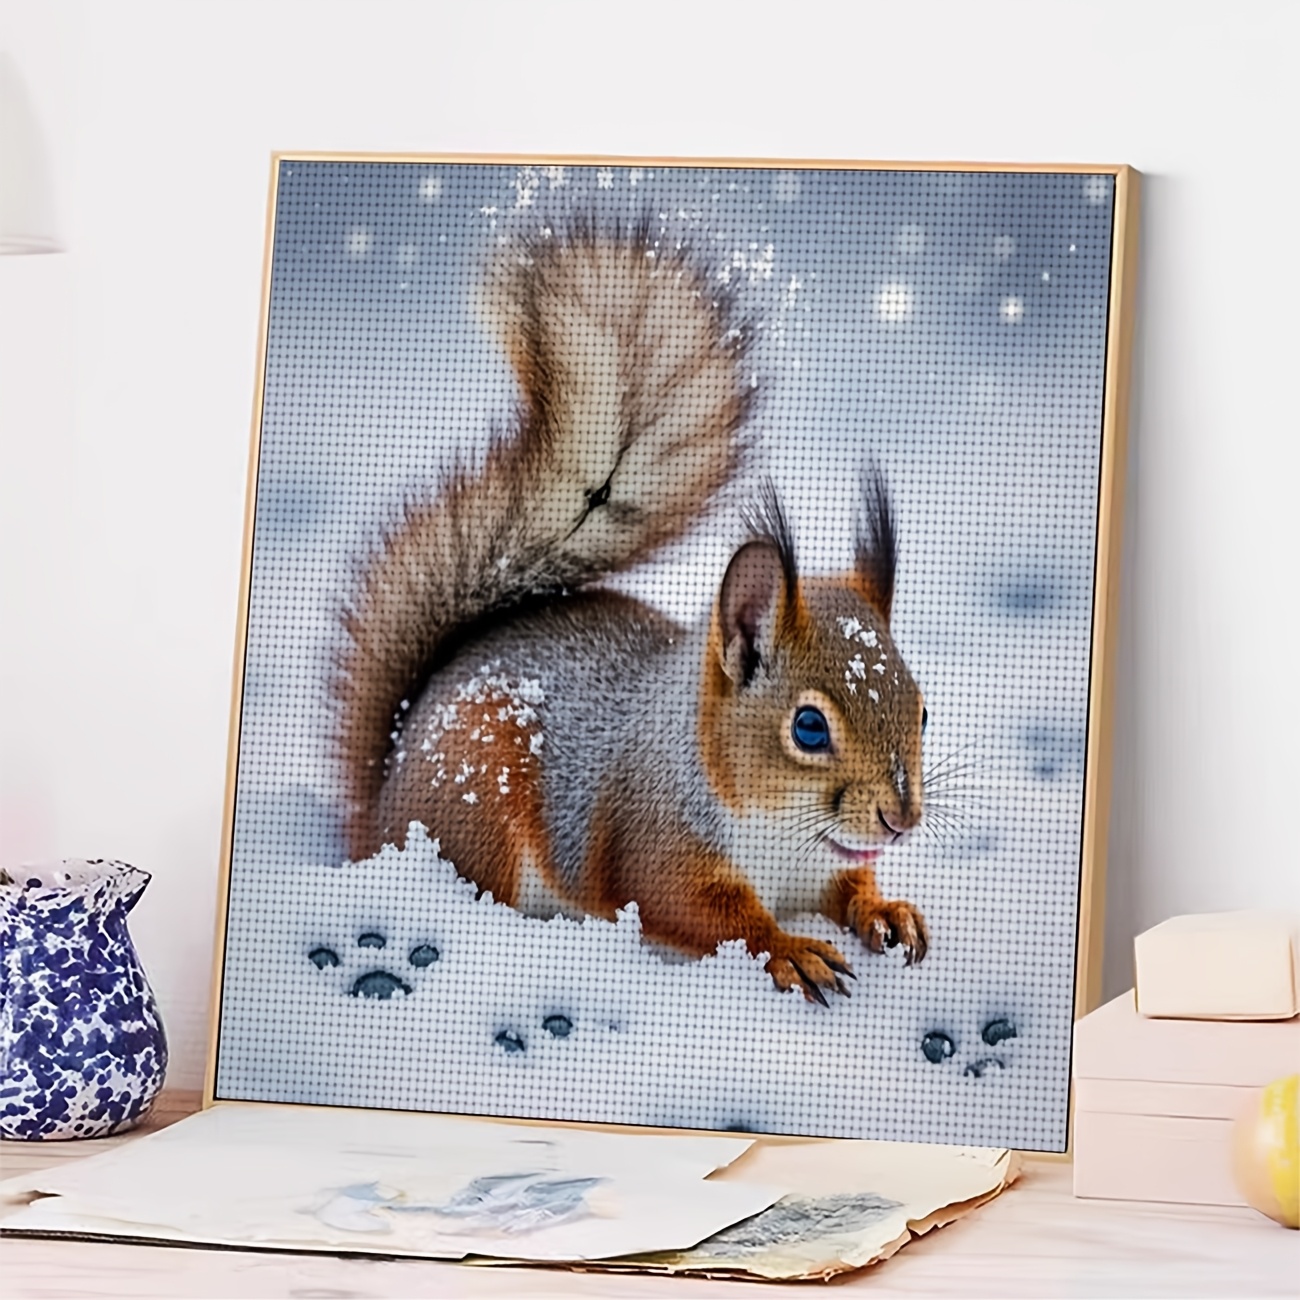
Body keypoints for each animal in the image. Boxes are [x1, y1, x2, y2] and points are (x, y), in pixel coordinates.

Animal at [332, 219, 929, 1002]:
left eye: (924, 710)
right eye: (808, 726)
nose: (901, 819)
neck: (782, 835)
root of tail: (380, 811)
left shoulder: (825, 864)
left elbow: (850, 886)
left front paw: (885, 909)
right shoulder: (655, 841)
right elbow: (703, 910)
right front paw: (790, 948)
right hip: (477, 803)